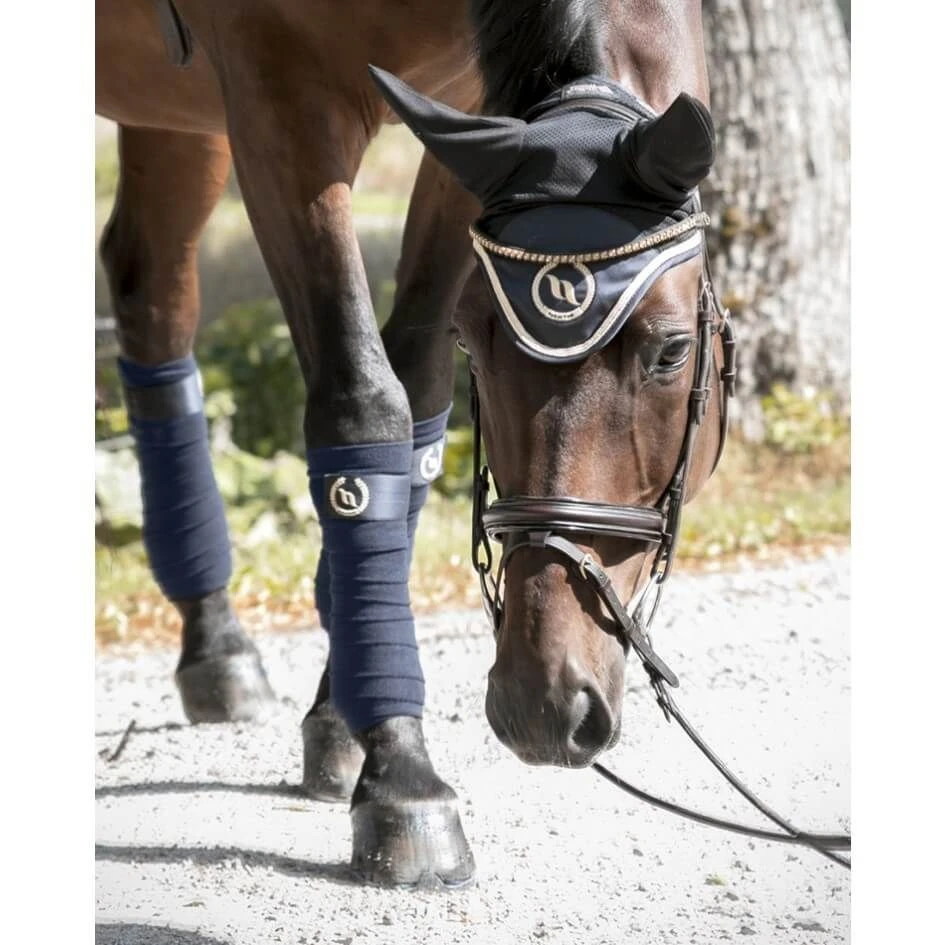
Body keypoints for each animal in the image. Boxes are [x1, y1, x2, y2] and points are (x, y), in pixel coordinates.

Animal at [95, 0, 730, 887]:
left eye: (671, 351)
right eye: (482, 343)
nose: (543, 703)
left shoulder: (466, 117)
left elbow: (418, 391)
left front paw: (340, 718)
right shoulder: (279, 98)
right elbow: (363, 404)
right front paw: (399, 772)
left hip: (171, 111)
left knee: (149, 291)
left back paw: (216, 646)